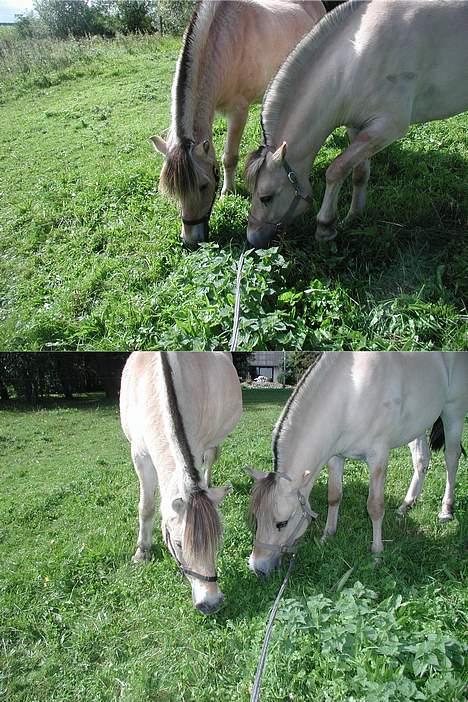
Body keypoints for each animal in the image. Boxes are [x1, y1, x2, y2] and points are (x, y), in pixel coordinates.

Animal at [120, 352, 241, 616]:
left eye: (218, 540)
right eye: (178, 544)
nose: (211, 603)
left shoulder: (199, 442)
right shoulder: (139, 455)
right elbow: (147, 507)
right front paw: (141, 552)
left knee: (210, 459)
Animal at [151, 0, 326, 249]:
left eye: (204, 185)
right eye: (174, 192)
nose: (191, 240)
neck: (224, 42)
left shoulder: (238, 112)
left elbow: (229, 157)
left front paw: (227, 191)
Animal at [245, 0, 468, 249]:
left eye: (266, 197)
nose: (252, 238)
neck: (355, 61)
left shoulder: (386, 128)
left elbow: (336, 169)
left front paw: (325, 226)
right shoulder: (358, 128)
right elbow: (358, 172)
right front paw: (353, 217)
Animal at [247, 352, 466, 576]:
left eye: (281, 523)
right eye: (256, 518)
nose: (257, 568)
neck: (351, 394)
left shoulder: (378, 457)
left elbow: (375, 506)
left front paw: (377, 552)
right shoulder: (336, 457)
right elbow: (334, 496)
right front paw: (327, 536)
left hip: (453, 413)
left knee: (451, 458)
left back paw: (446, 510)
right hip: (418, 425)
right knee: (421, 460)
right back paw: (405, 505)